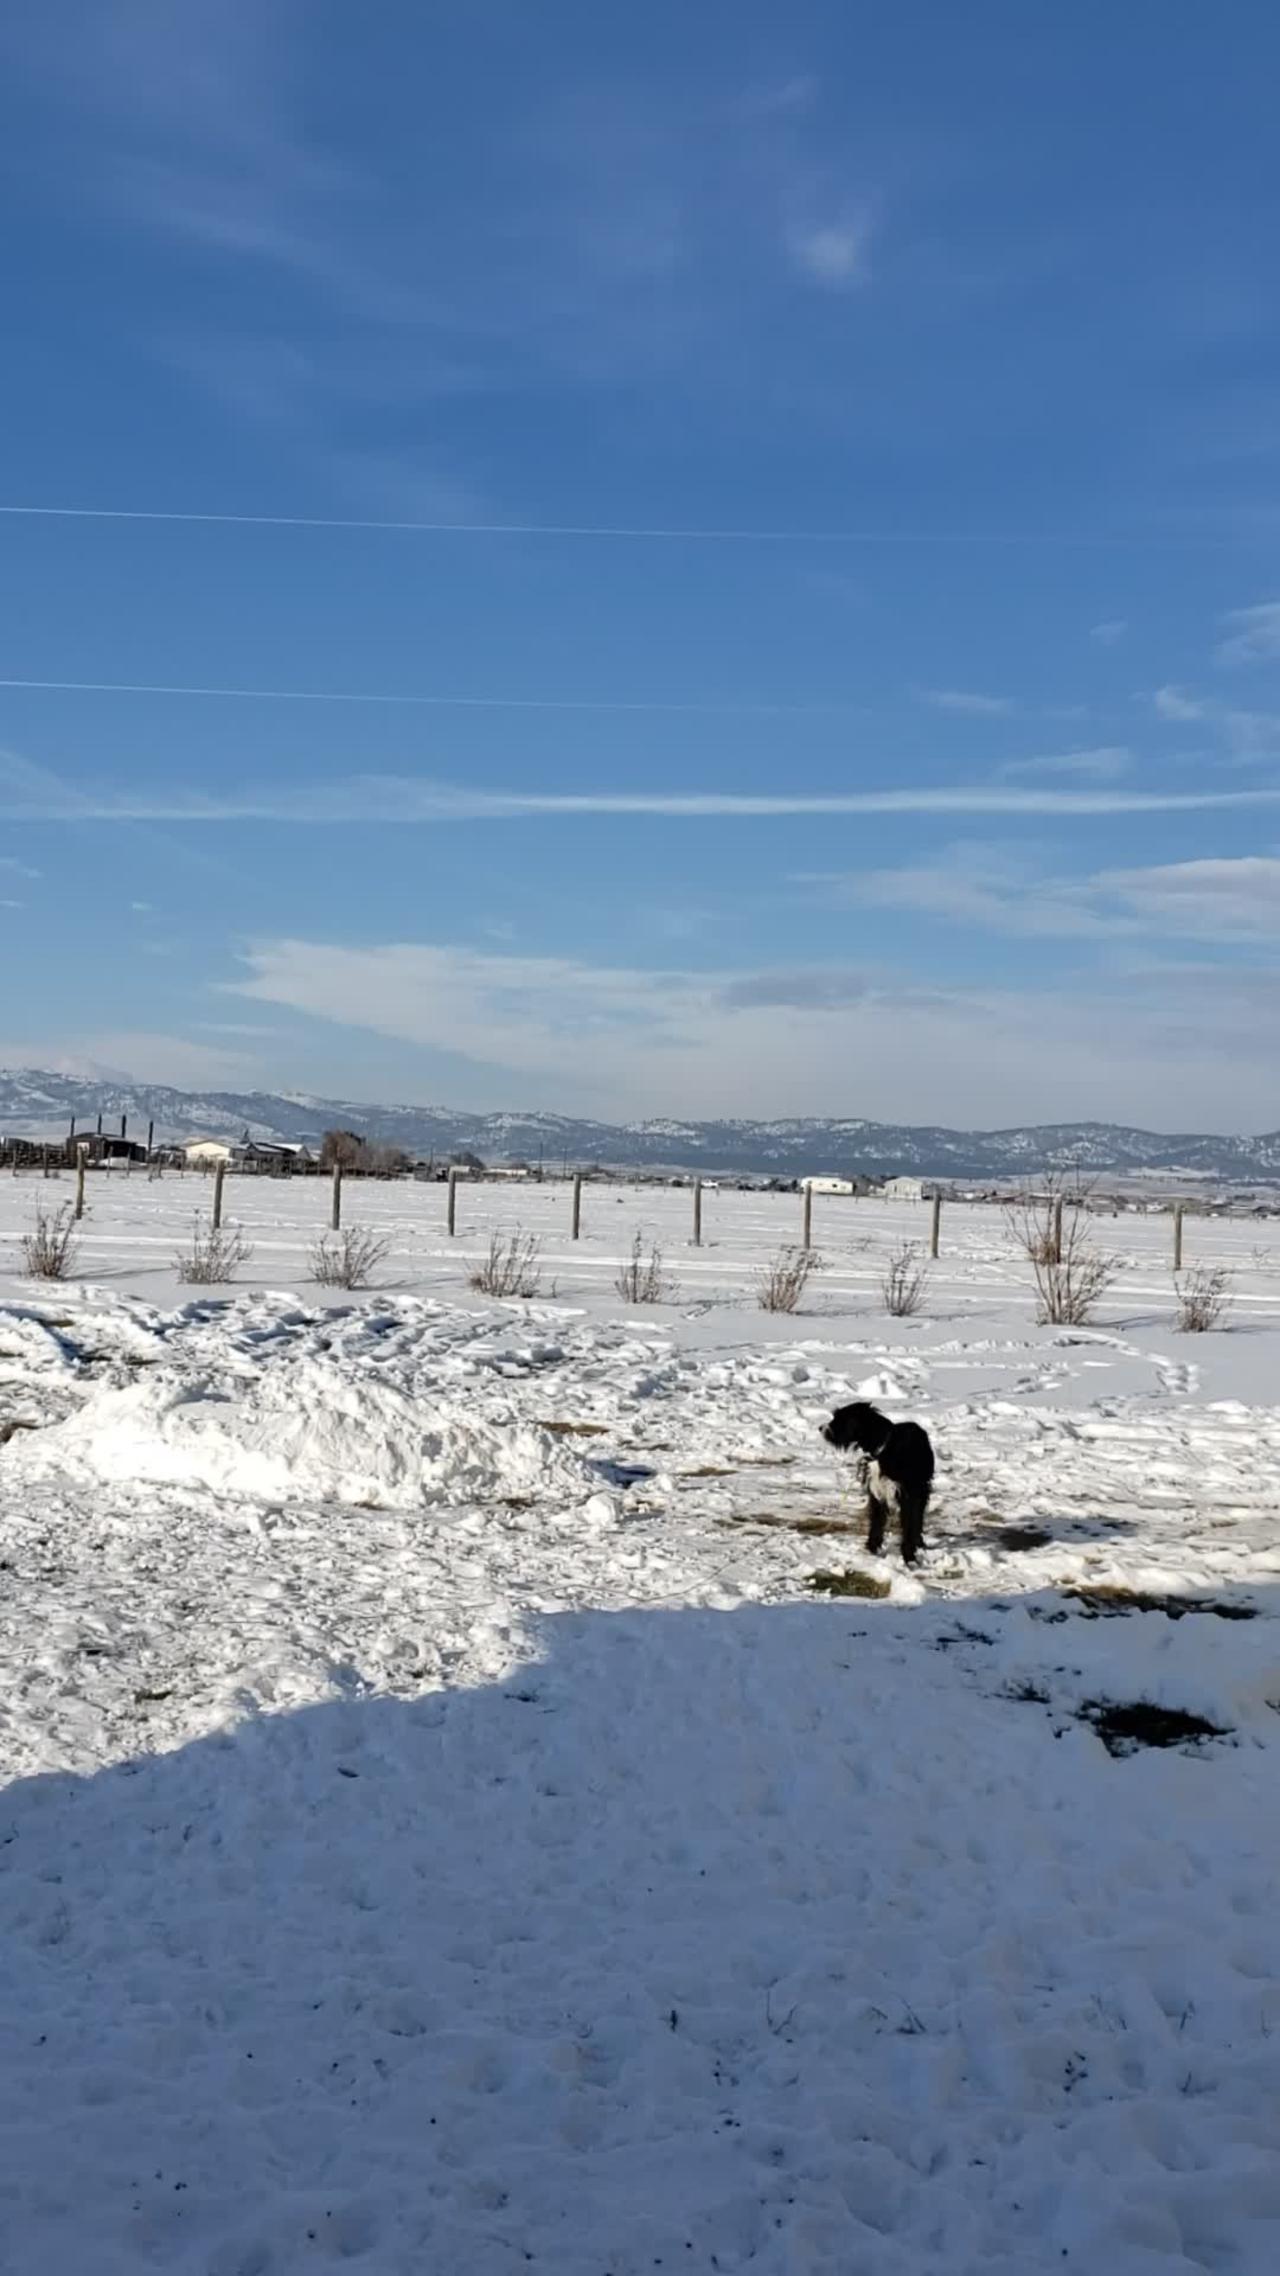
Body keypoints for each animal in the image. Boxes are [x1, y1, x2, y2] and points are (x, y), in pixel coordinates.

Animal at [819, 1402, 933, 1565]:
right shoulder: (877, 1493)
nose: (820, 1428)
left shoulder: (908, 1495)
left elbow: (909, 1525)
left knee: (918, 1518)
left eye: (839, 1418)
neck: (882, 1449)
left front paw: (909, 1557)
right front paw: (871, 1550)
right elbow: (876, 1522)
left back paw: (919, 1543)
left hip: (922, 1490)